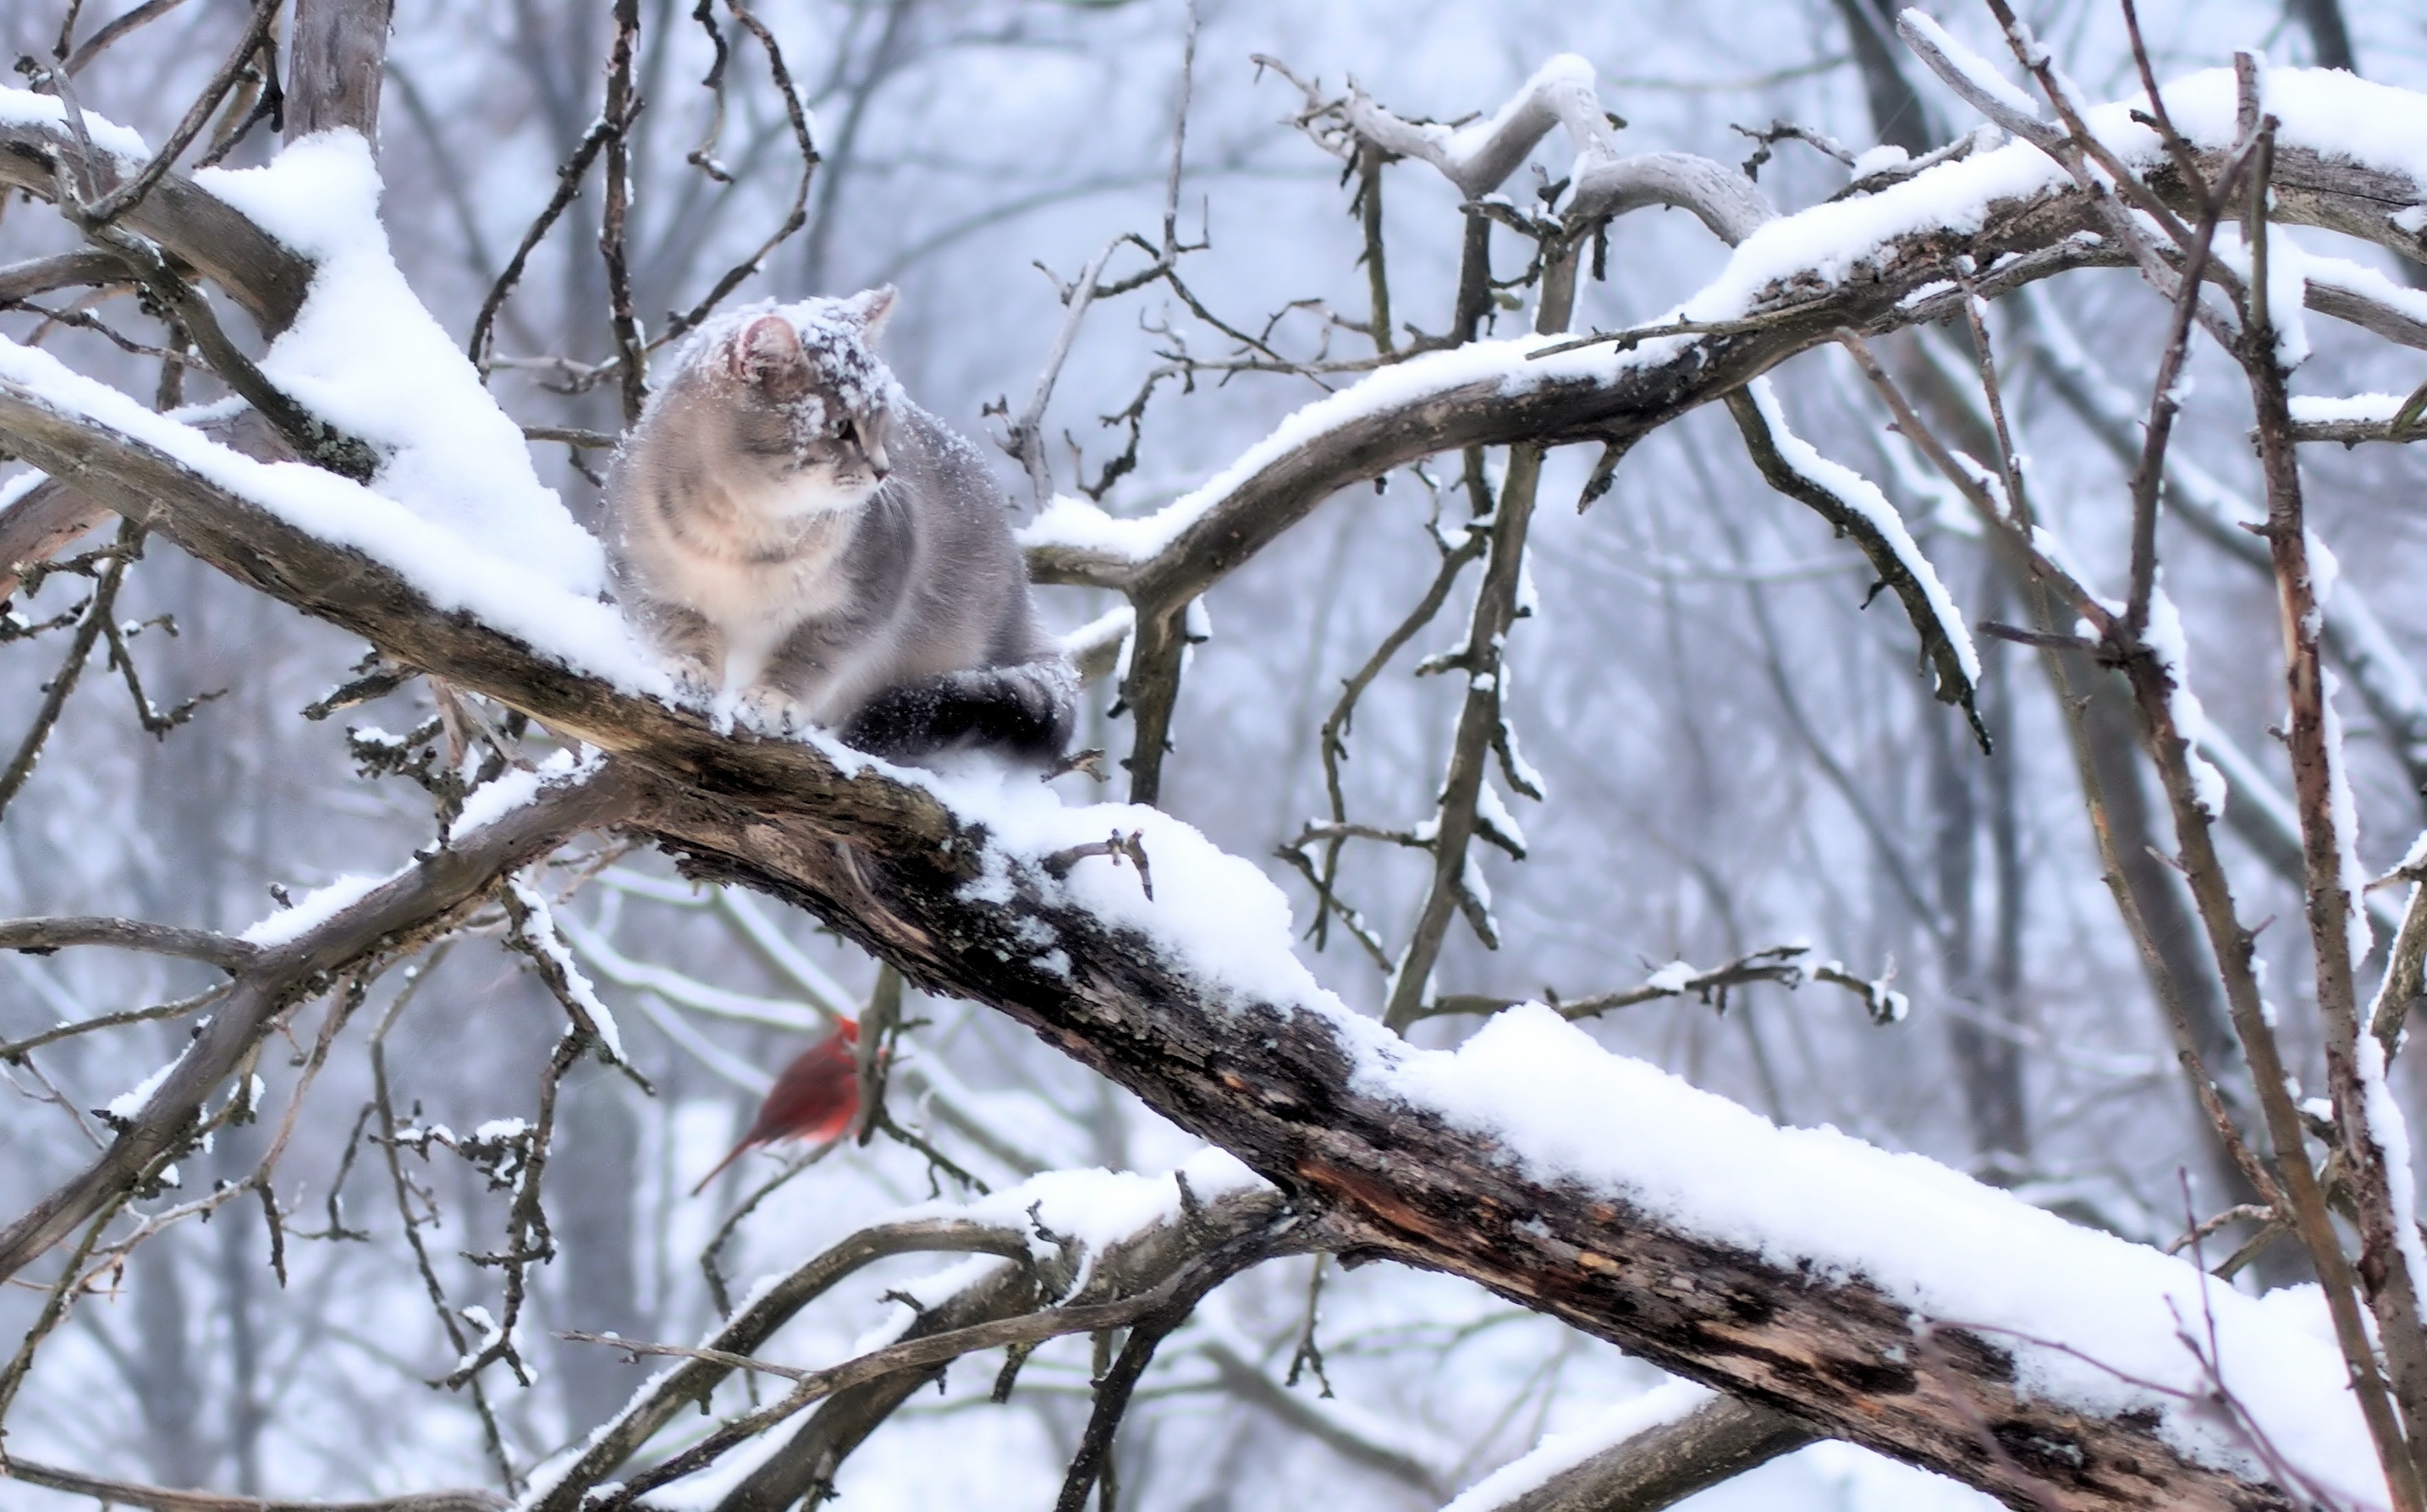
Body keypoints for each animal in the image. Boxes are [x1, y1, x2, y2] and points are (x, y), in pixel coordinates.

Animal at [602, 289, 1067, 761]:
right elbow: (676, 626)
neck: (748, 533)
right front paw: (689, 667)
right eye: (842, 427)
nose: (883, 470)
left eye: (883, 424)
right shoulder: (639, 572)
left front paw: (775, 698)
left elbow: (810, 656)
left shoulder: (865, 596)